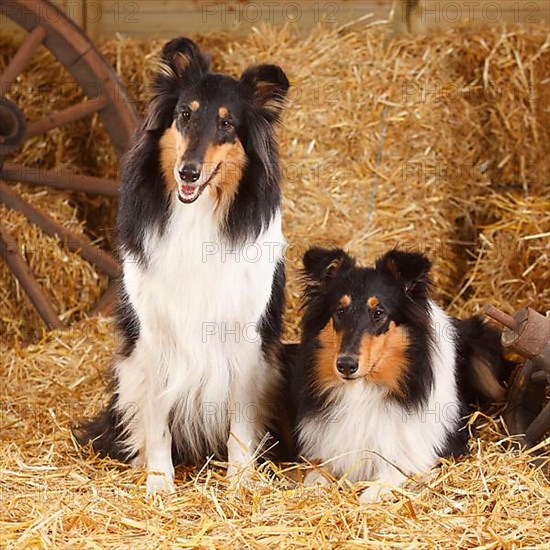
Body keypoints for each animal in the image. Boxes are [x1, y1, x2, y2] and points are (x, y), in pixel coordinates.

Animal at [81, 38, 294, 496]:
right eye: (184, 114)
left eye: (227, 124)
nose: (188, 172)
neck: (197, 217)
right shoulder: (153, 338)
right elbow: (157, 420)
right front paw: (160, 485)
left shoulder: (245, 339)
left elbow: (240, 423)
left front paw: (240, 483)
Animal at [292, 249, 512, 504]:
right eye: (340, 311)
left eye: (378, 313)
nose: (345, 365)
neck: (365, 390)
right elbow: (314, 476)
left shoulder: (425, 449)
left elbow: (392, 475)